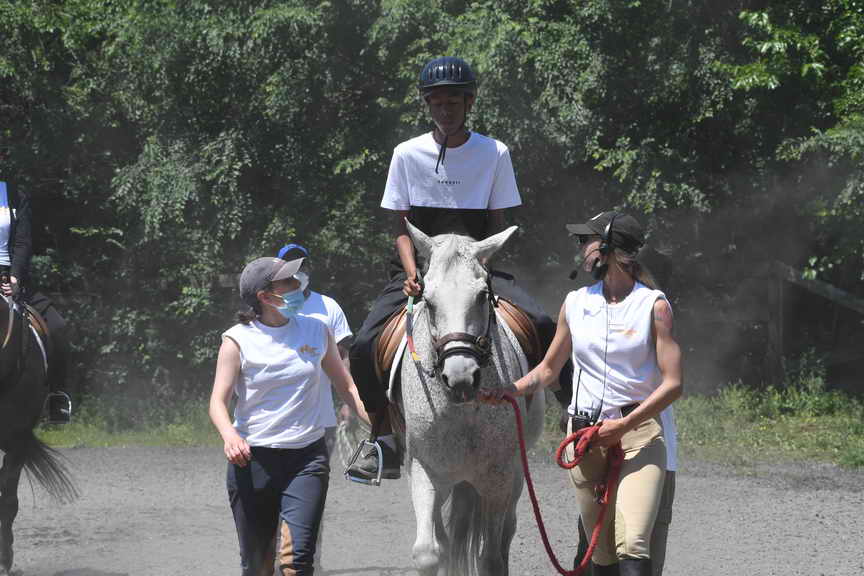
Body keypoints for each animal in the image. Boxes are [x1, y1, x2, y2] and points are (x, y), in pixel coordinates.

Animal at [394, 222, 546, 576]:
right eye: (428, 301)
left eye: (480, 296)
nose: (460, 377)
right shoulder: (424, 470)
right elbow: (429, 552)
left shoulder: (499, 477)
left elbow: (491, 558)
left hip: (512, 476)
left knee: (504, 533)